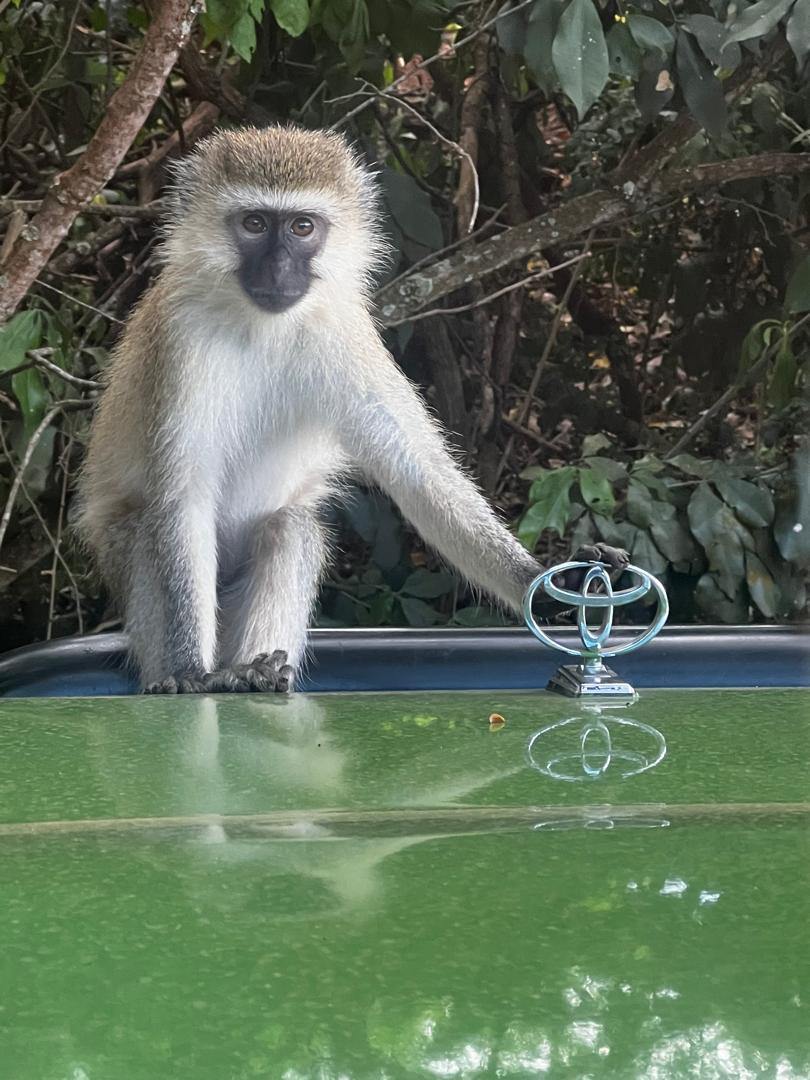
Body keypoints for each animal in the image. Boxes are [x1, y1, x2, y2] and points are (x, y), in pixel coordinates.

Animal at [74, 125, 627, 694]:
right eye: (254, 223)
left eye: (302, 227)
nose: (278, 270)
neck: (262, 326)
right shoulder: (180, 337)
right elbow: (183, 494)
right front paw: (188, 671)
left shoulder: (345, 327)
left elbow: (418, 474)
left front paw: (546, 582)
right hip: (125, 563)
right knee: (151, 530)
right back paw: (219, 673)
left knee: (292, 526)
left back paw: (255, 670)